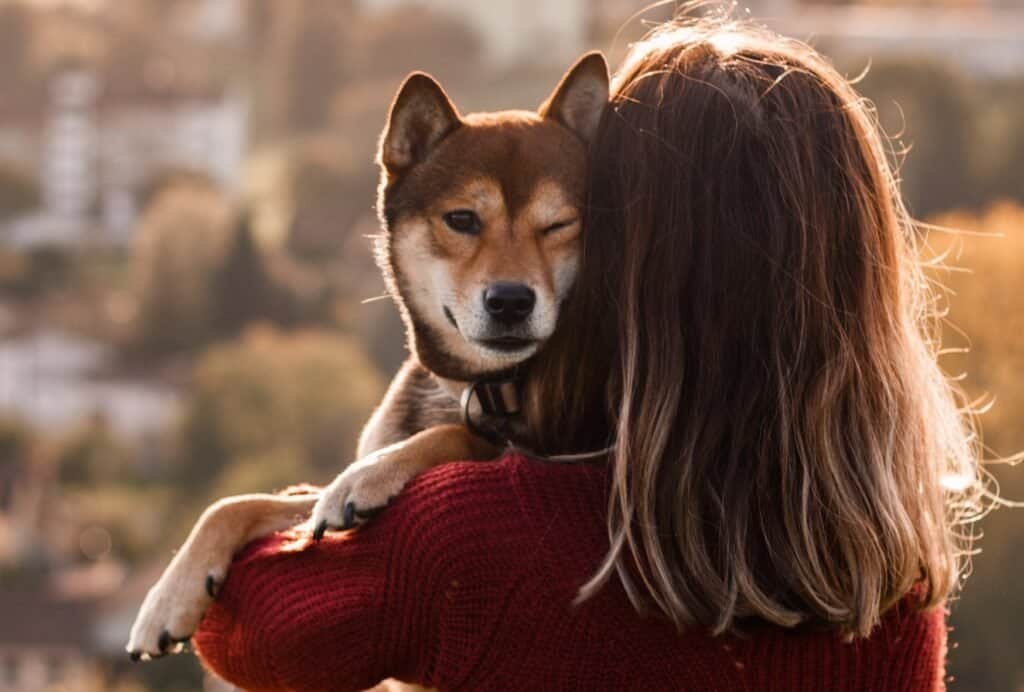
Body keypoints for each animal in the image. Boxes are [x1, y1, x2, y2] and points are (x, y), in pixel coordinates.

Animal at [128, 51, 606, 663]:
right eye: (462, 219)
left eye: (560, 225)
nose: (510, 301)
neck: (483, 389)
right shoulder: (305, 503)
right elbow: (237, 503)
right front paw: (167, 600)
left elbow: (451, 436)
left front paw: (374, 475)